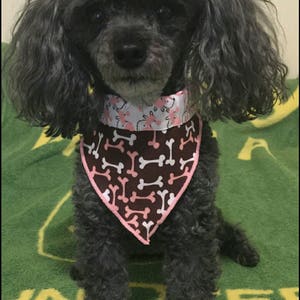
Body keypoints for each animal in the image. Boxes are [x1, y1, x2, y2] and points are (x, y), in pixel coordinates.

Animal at [5, 0, 288, 300]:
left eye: (164, 11)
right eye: (96, 14)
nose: (129, 52)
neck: (141, 121)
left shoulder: (192, 223)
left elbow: (191, 280)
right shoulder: (97, 225)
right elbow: (104, 279)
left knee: (224, 227)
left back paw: (245, 250)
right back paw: (79, 267)